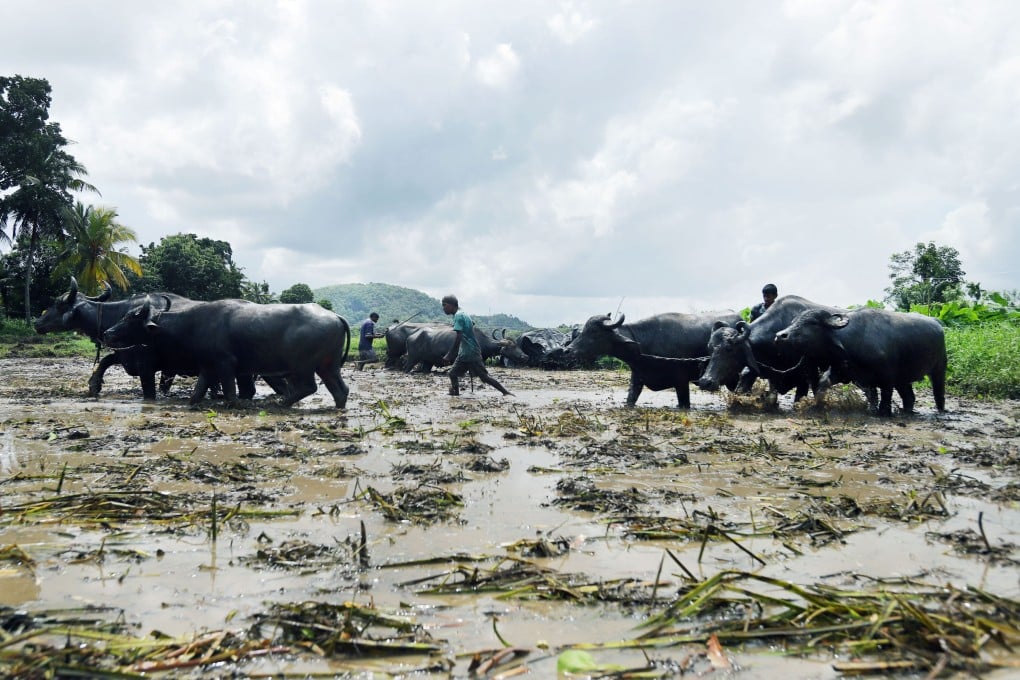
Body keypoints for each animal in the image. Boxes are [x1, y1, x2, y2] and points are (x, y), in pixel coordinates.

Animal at [775, 307, 947, 416]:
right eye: (793, 322)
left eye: (812, 323)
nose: (780, 336)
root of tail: (937, 322)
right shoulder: (848, 372)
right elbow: (824, 383)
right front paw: (818, 404)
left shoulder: (887, 377)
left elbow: (885, 395)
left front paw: (884, 413)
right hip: (903, 379)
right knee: (909, 397)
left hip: (939, 367)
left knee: (938, 391)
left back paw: (941, 410)